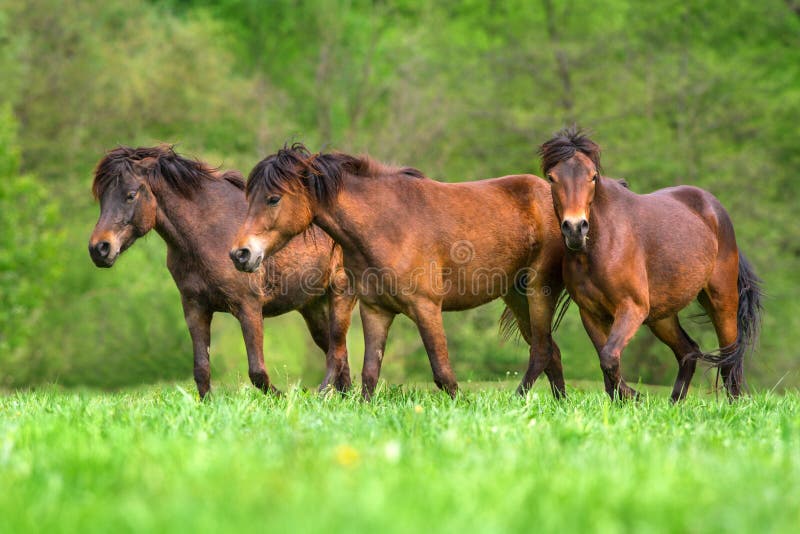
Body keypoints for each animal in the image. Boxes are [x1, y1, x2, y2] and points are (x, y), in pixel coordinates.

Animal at [86, 144, 354, 400]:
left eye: (130, 195)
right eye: (102, 197)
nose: (99, 249)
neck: (209, 232)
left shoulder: (249, 307)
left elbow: (257, 372)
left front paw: (283, 399)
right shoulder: (195, 309)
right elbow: (201, 370)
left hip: (340, 294)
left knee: (337, 352)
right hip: (313, 306)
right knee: (337, 350)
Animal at [228, 144, 572, 400]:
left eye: (273, 198)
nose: (240, 254)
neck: (387, 224)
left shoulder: (426, 307)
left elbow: (443, 373)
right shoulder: (375, 310)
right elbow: (370, 374)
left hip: (538, 291)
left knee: (541, 351)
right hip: (516, 295)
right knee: (551, 351)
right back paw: (560, 406)